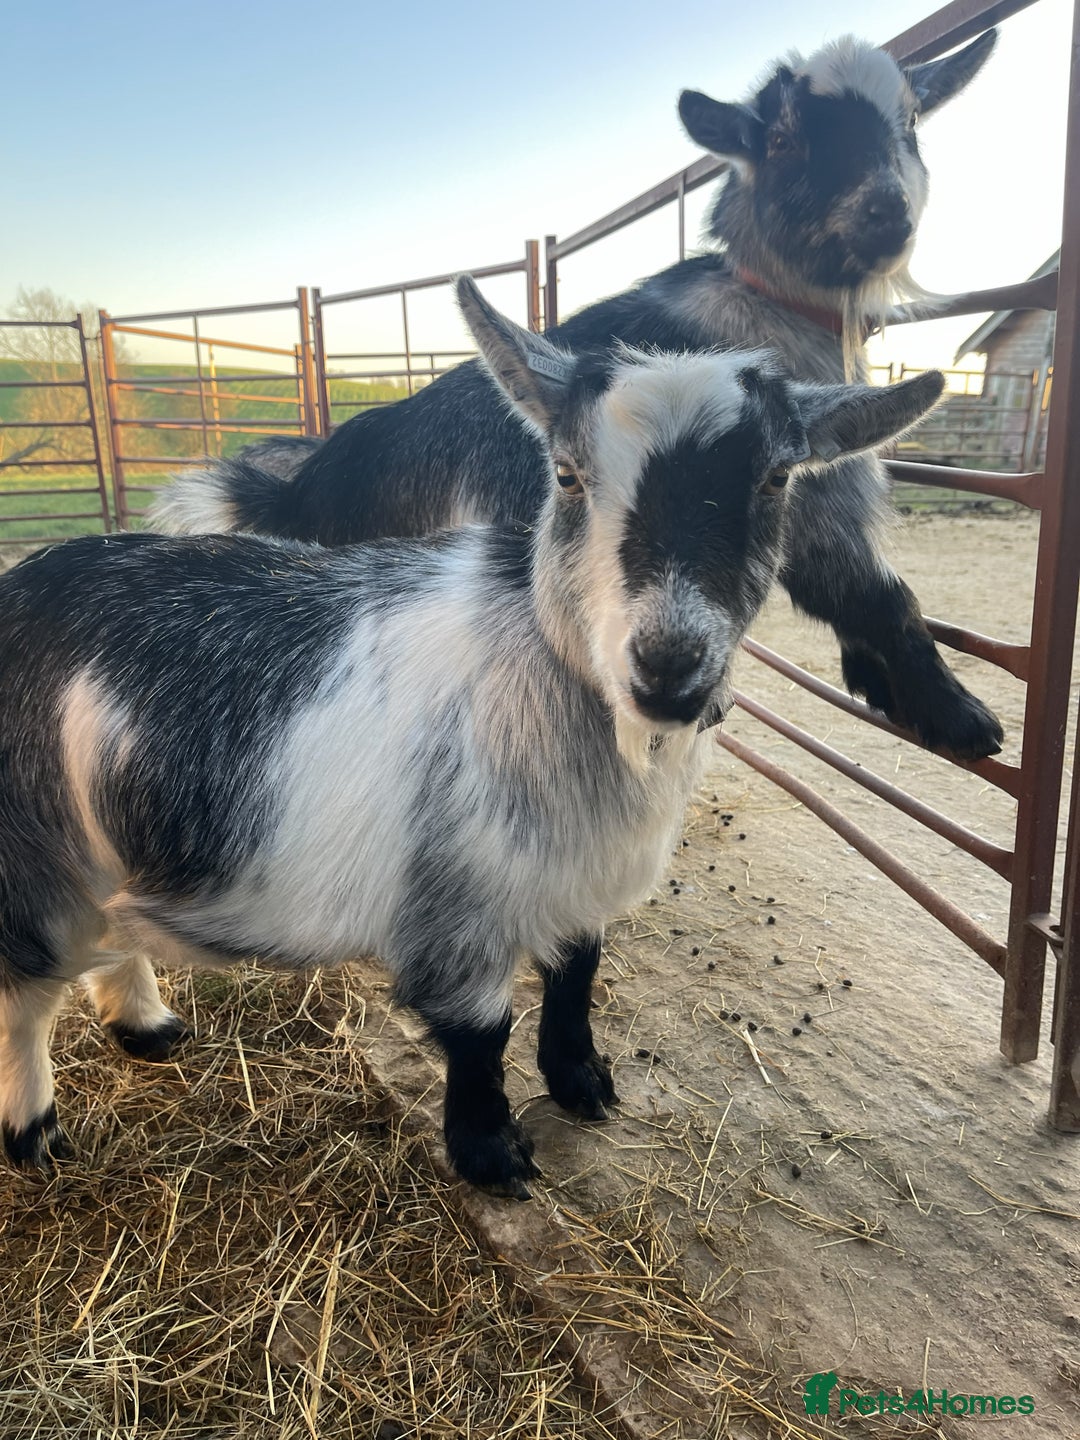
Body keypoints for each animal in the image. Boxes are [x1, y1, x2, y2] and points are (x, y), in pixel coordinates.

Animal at [1, 280, 943, 1196]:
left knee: (110, 934)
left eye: (776, 480)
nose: (668, 667)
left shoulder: (573, 878)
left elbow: (575, 975)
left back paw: (147, 1025)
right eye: (566, 475)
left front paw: (582, 1082)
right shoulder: (456, 904)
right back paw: (32, 1129)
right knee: (25, 990)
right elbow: (482, 1033)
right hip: (33, 853)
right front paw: (493, 1155)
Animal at [153, 31, 999, 763]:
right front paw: (960, 714)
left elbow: (866, 593)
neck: (763, 306)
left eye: (910, 121)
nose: (886, 213)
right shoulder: (814, 502)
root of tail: (305, 487)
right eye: (784, 138)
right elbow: (877, 592)